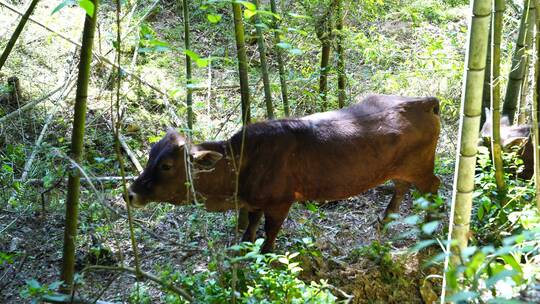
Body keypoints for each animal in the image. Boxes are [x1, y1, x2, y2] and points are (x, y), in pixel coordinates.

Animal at [129, 95, 440, 252]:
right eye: (150, 154)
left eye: (167, 165)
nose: (129, 193)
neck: (242, 162)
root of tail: (424, 101)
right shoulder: (254, 203)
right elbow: (249, 231)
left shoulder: (280, 202)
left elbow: (268, 237)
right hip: (401, 169)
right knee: (401, 187)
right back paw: (384, 222)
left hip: (422, 167)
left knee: (433, 187)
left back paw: (429, 231)